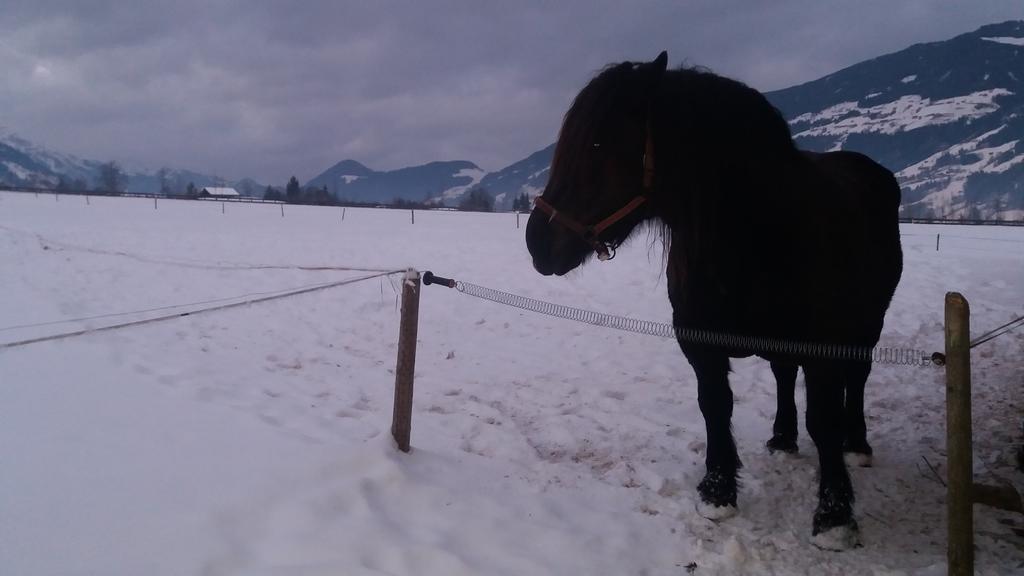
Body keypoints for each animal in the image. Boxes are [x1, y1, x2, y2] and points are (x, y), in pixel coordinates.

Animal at [524, 50, 901, 545]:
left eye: (599, 145)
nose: (536, 242)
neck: (757, 234)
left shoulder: (822, 346)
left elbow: (824, 418)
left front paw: (834, 514)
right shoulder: (699, 340)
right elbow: (715, 405)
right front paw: (718, 490)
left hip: (867, 325)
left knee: (856, 379)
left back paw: (856, 444)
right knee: (784, 374)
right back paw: (783, 438)